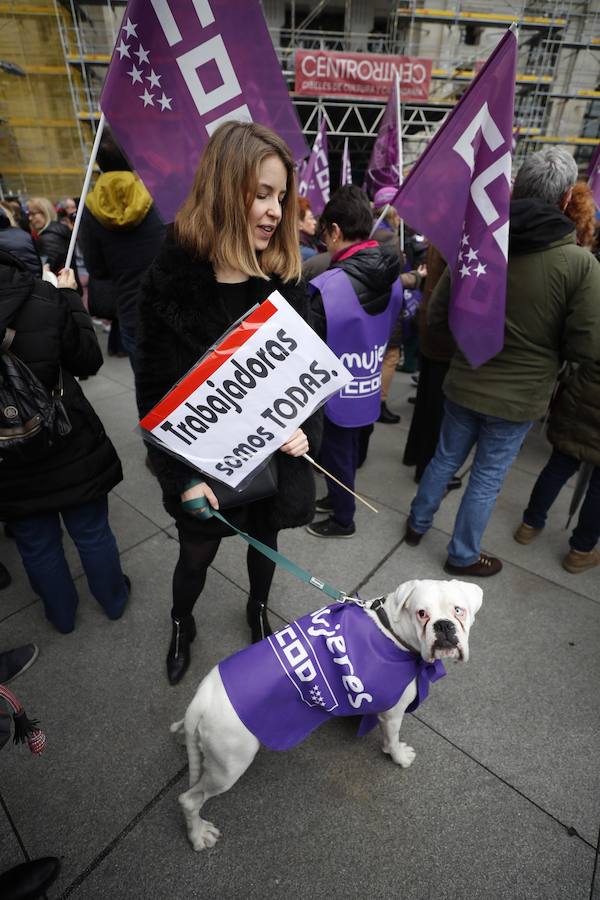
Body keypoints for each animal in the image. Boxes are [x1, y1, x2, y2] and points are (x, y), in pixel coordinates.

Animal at [170, 576, 482, 852]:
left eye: (458, 610)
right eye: (421, 613)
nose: (444, 626)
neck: (391, 631)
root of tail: (202, 701)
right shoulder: (393, 713)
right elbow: (392, 739)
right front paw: (398, 756)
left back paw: (183, 737)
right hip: (229, 766)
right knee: (189, 800)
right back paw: (198, 835)